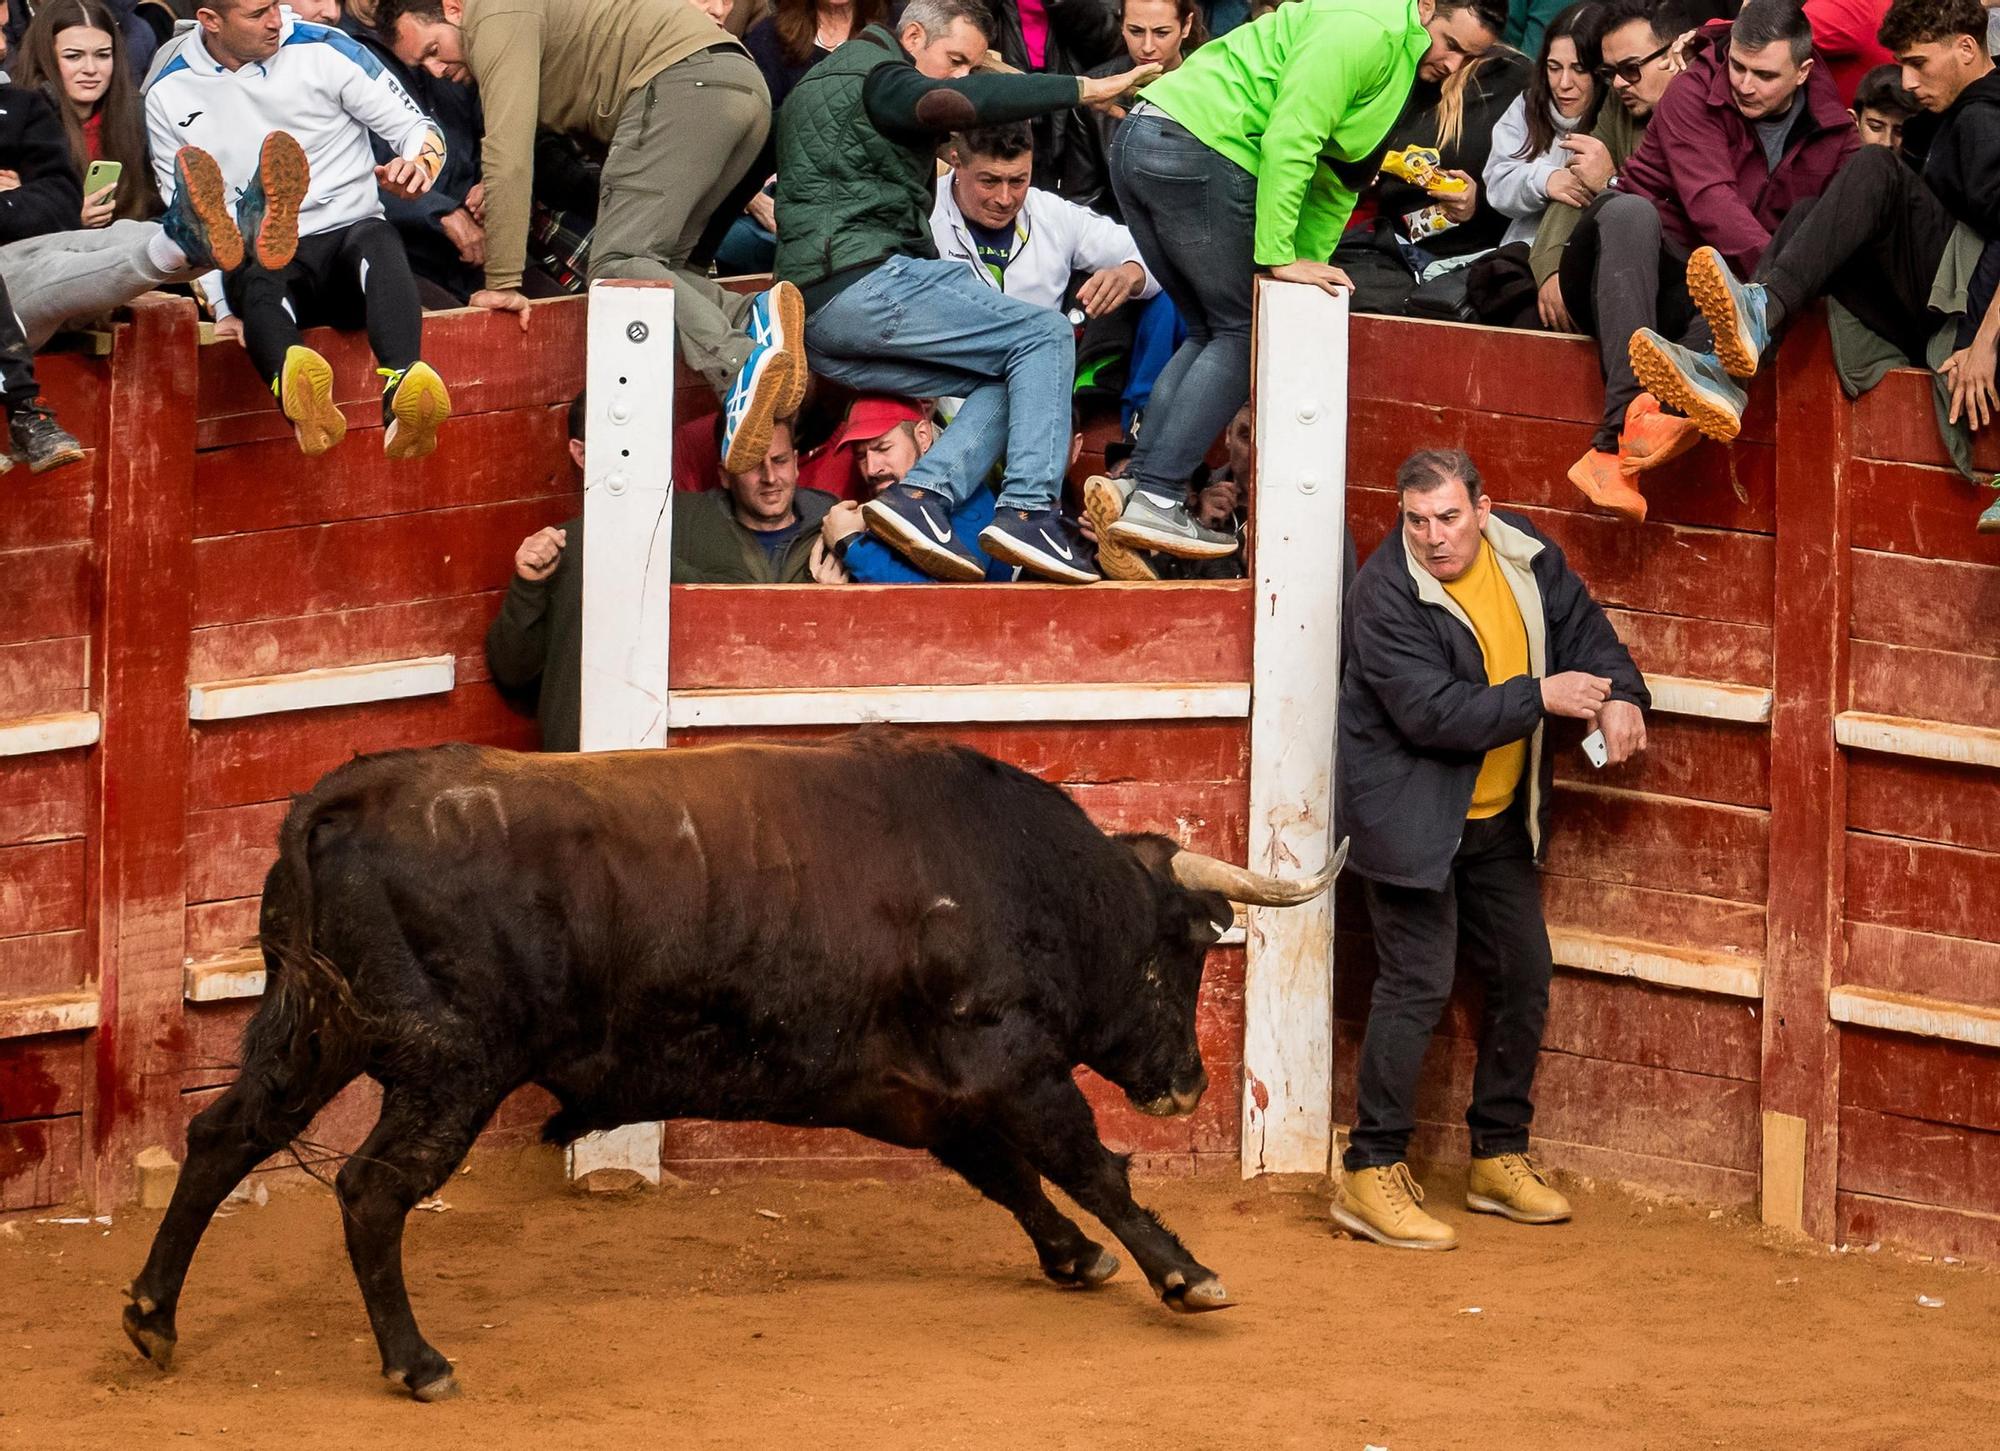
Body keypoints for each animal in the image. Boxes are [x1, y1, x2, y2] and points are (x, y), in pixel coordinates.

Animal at [125, 731, 1344, 1407]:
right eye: (1181, 951)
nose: (1188, 1083)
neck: (1035, 879)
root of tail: (341, 799)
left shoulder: (925, 1094)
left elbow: (1010, 1177)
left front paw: (1076, 1258)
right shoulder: (1011, 1063)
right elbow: (1090, 1165)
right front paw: (1184, 1273)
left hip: (311, 1032)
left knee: (221, 1138)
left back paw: (151, 1315)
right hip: (447, 1068)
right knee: (373, 1189)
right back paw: (417, 1360)